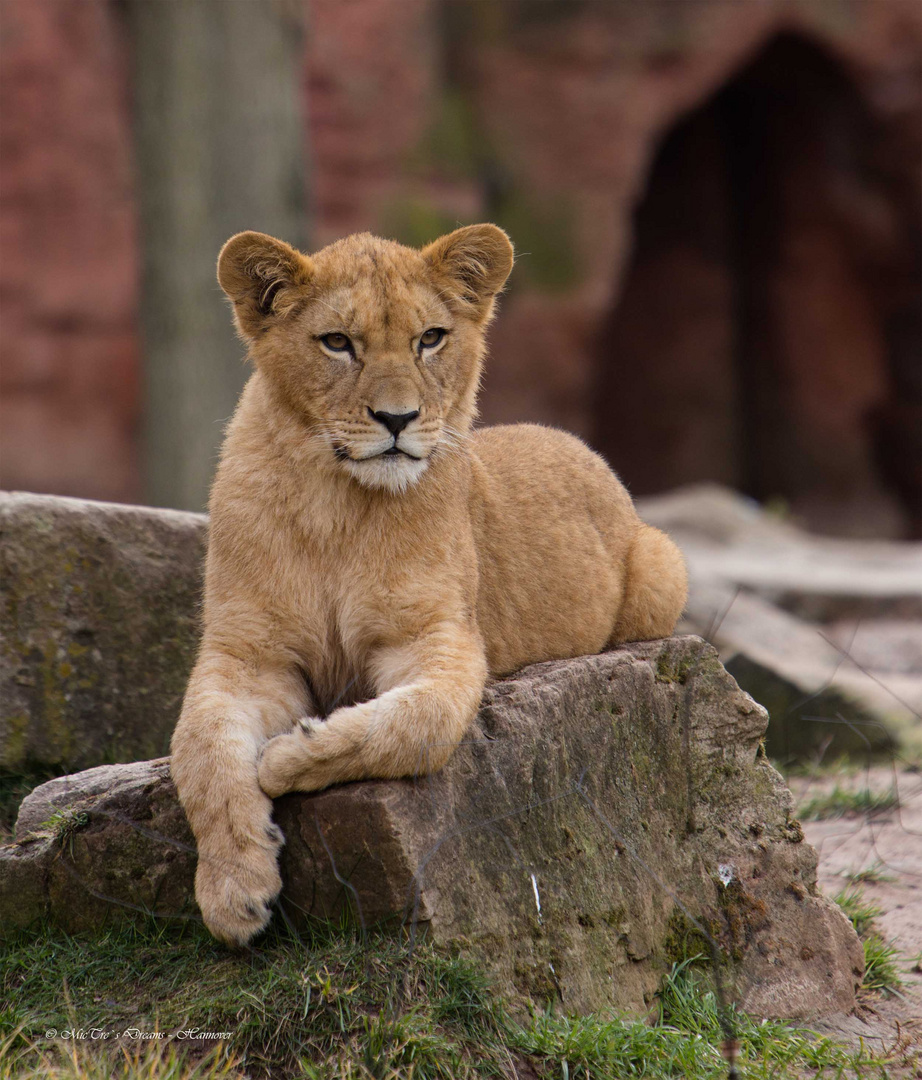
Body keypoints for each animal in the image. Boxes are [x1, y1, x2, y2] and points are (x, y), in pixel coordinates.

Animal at [169, 223, 690, 941]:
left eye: (430, 338)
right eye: (338, 342)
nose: (397, 419)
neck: (337, 505)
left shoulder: (437, 636)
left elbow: (414, 723)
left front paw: (288, 758)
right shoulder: (248, 654)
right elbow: (199, 751)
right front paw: (233, 889)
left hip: (663, 567)